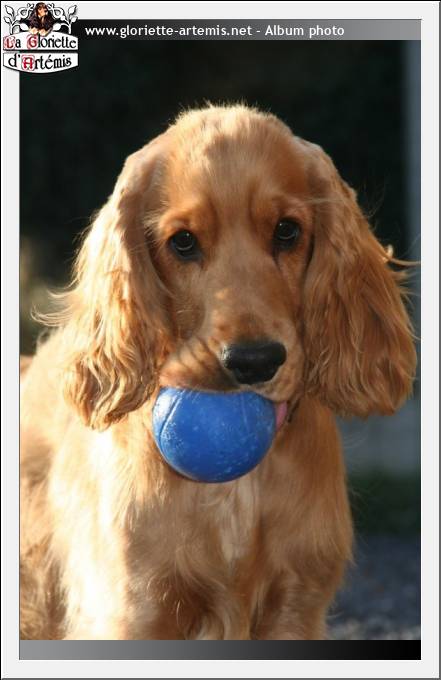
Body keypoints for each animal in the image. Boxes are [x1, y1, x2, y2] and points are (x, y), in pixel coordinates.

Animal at [20, 104, 416, 640]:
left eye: (287, 231)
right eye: (183, 242)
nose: (254, 361)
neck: (236, 492)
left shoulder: (296, 606)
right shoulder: (137, 607)